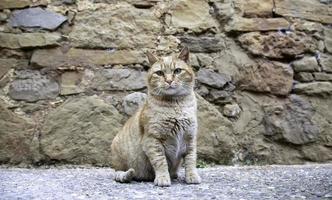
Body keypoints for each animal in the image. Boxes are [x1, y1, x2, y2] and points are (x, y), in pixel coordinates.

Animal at [110, 47, 201, 187]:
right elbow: (160, 161)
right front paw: (163, 178)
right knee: (120, 172)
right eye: (159, 73)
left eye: (177, 71)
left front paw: (192, 176)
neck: (176, 105)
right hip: (119, 155)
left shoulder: (190, 138)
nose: (168, 80)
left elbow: (191, 160)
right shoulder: (153, 139)